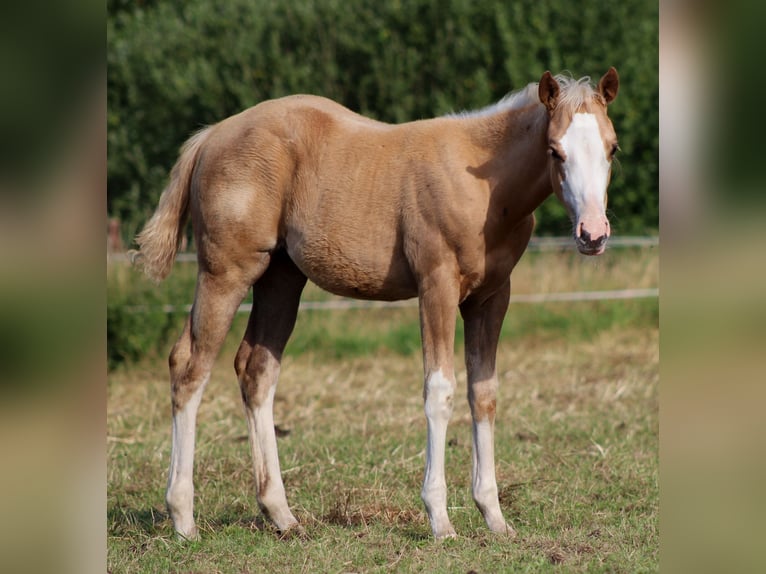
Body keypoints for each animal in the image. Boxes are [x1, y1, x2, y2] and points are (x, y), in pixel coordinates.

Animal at [133, 68, 620, 540]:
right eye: (555, 152)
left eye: (612, 149)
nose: (592, 234)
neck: (483, 187)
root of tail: (212, 135)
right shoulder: (437, 286)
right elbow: (439, 391)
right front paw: (440, 520)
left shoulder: (492, 297)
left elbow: (483, 394)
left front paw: (494, 517)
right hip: (226, 272)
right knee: (189, 366)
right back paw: (183, 519)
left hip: (281, 278)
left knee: (256, 370)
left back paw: (281, 516)